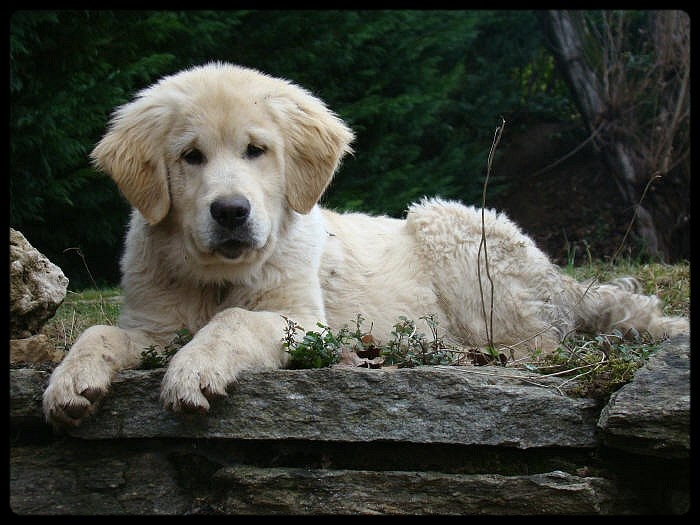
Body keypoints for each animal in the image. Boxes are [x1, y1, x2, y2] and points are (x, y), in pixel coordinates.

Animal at [43, 63, 688, 428]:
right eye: (190, 156)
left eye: (256, 150)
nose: (230, 212)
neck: (217, 276)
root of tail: (562, 280)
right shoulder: (152, 324)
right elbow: (97, 331)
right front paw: (70, 383)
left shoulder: (304, 322)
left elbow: (232, 322)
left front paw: (192, 371)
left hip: (448, 224)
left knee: (537, 344)